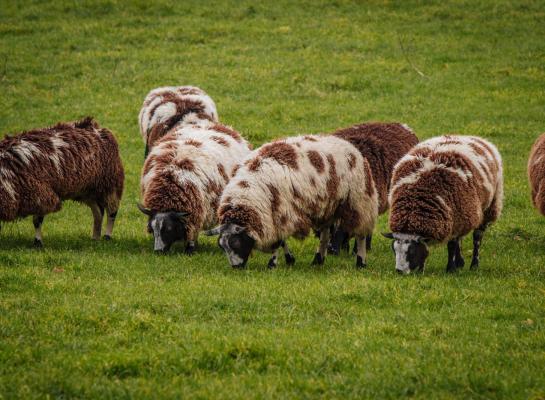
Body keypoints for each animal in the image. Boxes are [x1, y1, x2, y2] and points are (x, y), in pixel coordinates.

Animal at [0, 117, 124, 245]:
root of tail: (95, 127)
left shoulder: (42, 194)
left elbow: (37, 221)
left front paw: (38, 242)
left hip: (110, 184)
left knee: (112, 211)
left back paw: (107, 236)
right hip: (87, 190)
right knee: (98, 212)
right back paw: (95, 237)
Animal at [204, 134, 378, 268]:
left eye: (236, 243)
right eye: (222, 246)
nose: (236, 267)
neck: (248, 189)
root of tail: (351, 148)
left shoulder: (282, 213)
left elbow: (278, 241)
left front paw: (273, 264)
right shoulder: (275, 216)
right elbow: (281, 241)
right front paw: (289, 260)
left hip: (358, 201)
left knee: (361, 234)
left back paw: (360, 262)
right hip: (327, 207)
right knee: (325, 234)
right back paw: (318, 260)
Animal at [382, 136, 502, 274]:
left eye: (411, 252)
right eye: (394, 249)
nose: (399, 271)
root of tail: (478, 139)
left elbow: (451, 245)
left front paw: (450, 269)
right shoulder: (454, 218)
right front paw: (423, 269)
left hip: (488, 206)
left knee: (477, 237)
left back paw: (474, 265)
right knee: (460, 238)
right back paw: (460, 263)